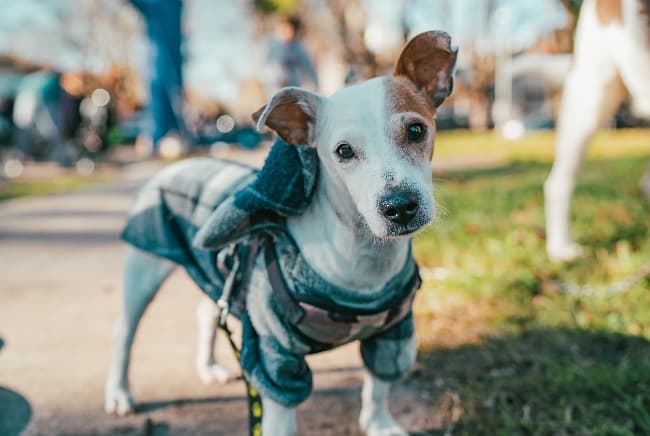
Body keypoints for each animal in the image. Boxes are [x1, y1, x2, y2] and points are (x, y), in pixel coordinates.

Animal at [104, 31, 456, 436]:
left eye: (416, 130)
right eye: (344, 151)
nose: (399, 206)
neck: (362, 259)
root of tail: (180, 164)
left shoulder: (392, 333)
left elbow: (380, 383)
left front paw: (380, 423)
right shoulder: (273, 354)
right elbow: (280, 414)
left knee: (206, 312)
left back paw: (208, 367)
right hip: (143, 271)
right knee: (124, 332)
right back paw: (119, 392)